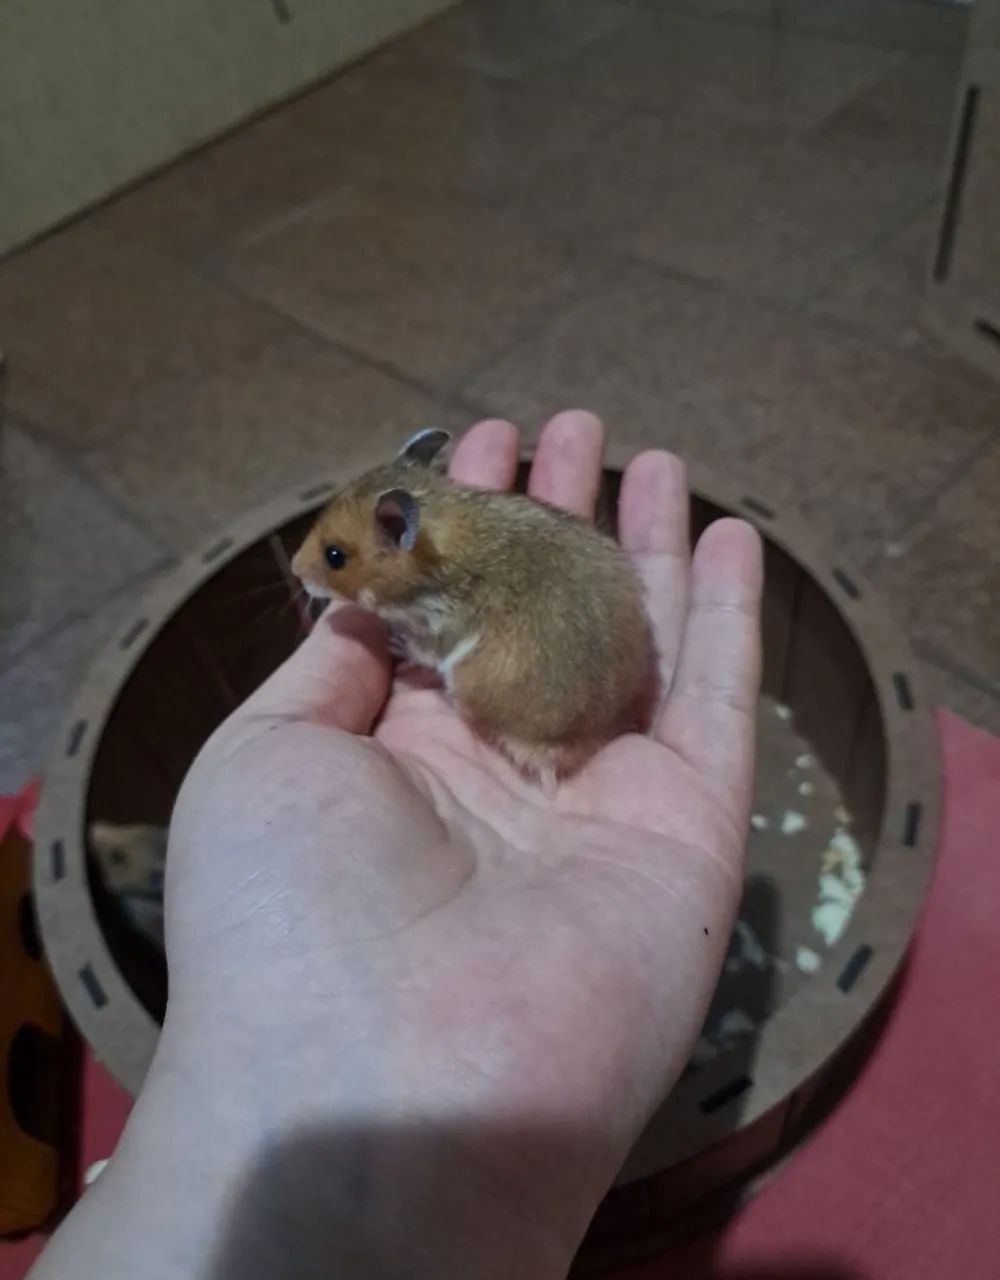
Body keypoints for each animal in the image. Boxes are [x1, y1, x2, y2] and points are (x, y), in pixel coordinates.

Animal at [291, 429, 655, 778]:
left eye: (334, 556)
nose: (294, 570)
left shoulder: (440, 628)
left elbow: (423, 648)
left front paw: (395, 642)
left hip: (464, 676)